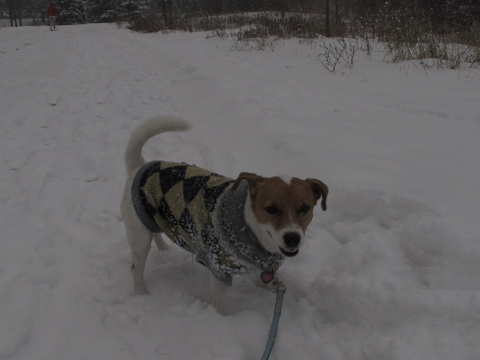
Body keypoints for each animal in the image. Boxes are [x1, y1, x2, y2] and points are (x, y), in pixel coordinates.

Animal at [121, 116, 330, 312]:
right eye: (271, 208)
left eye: (304, 208)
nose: (292, 238)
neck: (251, 230)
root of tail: (139, 167)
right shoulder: (219, 269)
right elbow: (220, 307)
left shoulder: (265, 265)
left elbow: (267, 280)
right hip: (139, 238)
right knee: (135, 268)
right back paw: (141, 293)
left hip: (152, 219)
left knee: (155, 233)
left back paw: (163, 248)